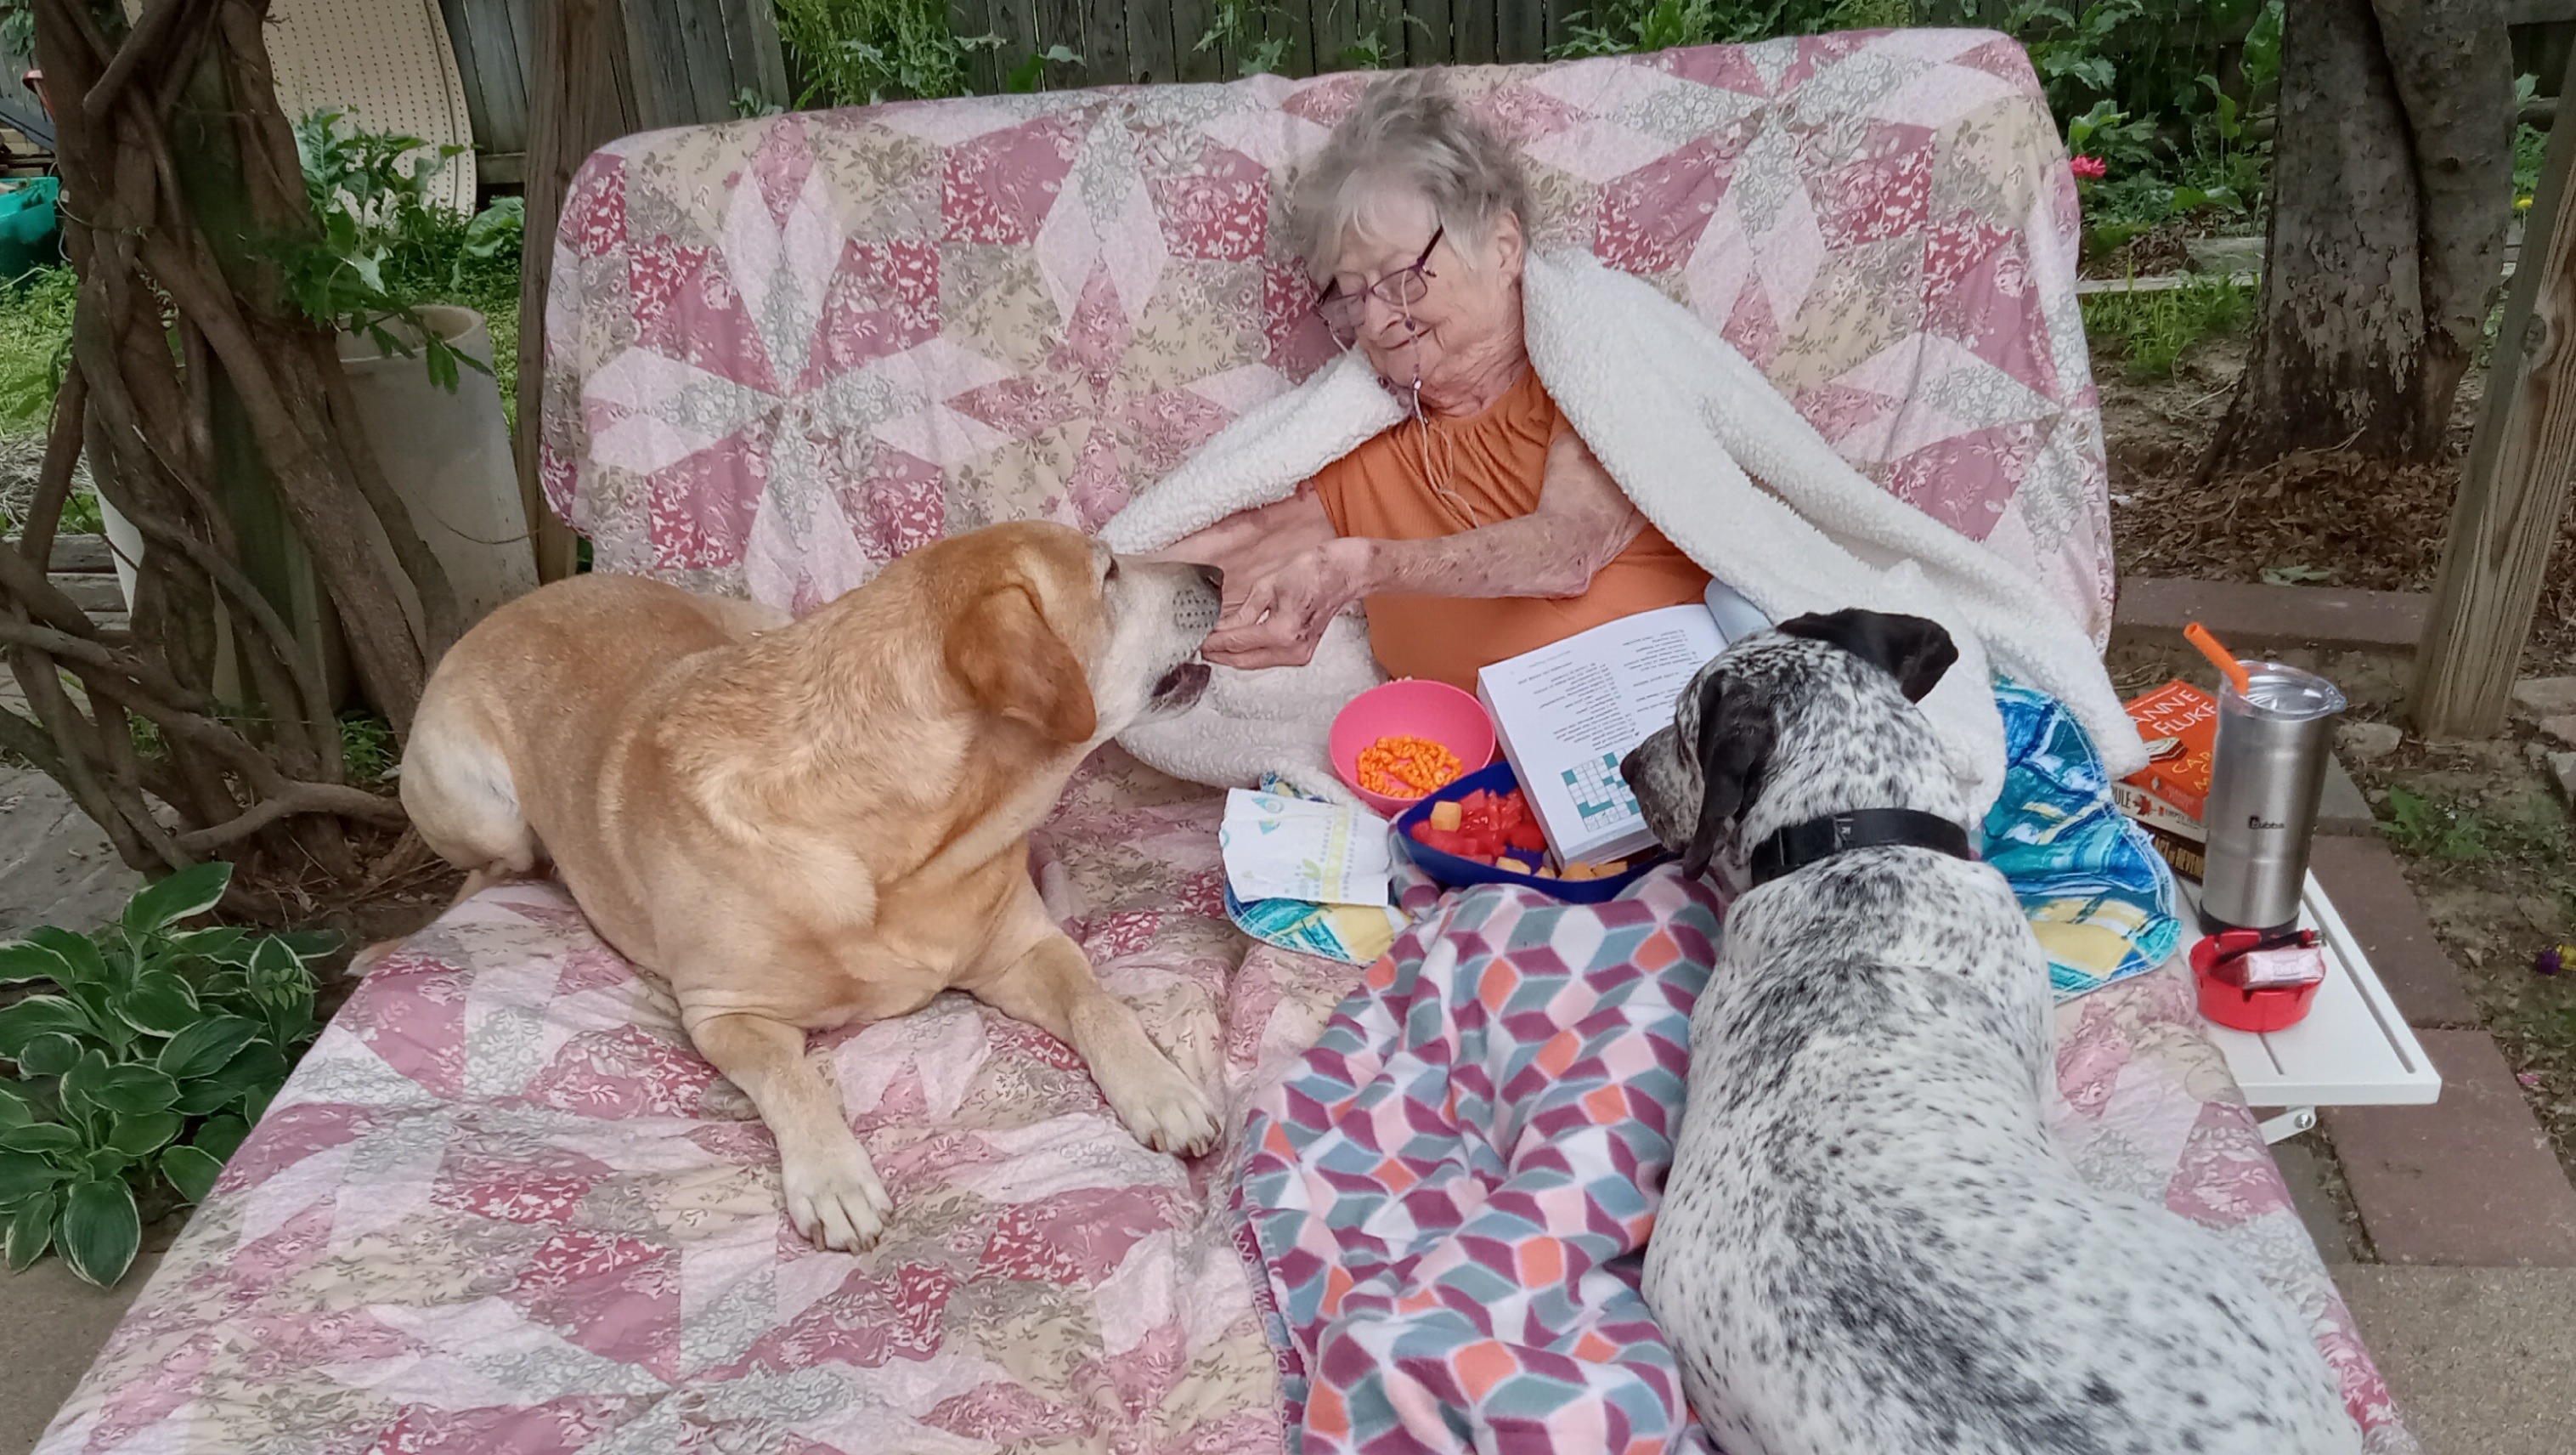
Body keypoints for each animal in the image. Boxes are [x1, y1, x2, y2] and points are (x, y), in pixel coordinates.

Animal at [398, 521, 1226, 1252]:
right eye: (1108, 572)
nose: (1217, 572)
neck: (903, 848)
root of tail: (523, 600)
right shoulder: (725, 1013)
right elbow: (790, 1075)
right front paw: (832, 1175)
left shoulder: (1027, 950)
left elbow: (1099, 1004)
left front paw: (1160, 1086)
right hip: (482, 808)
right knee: (498, 866)